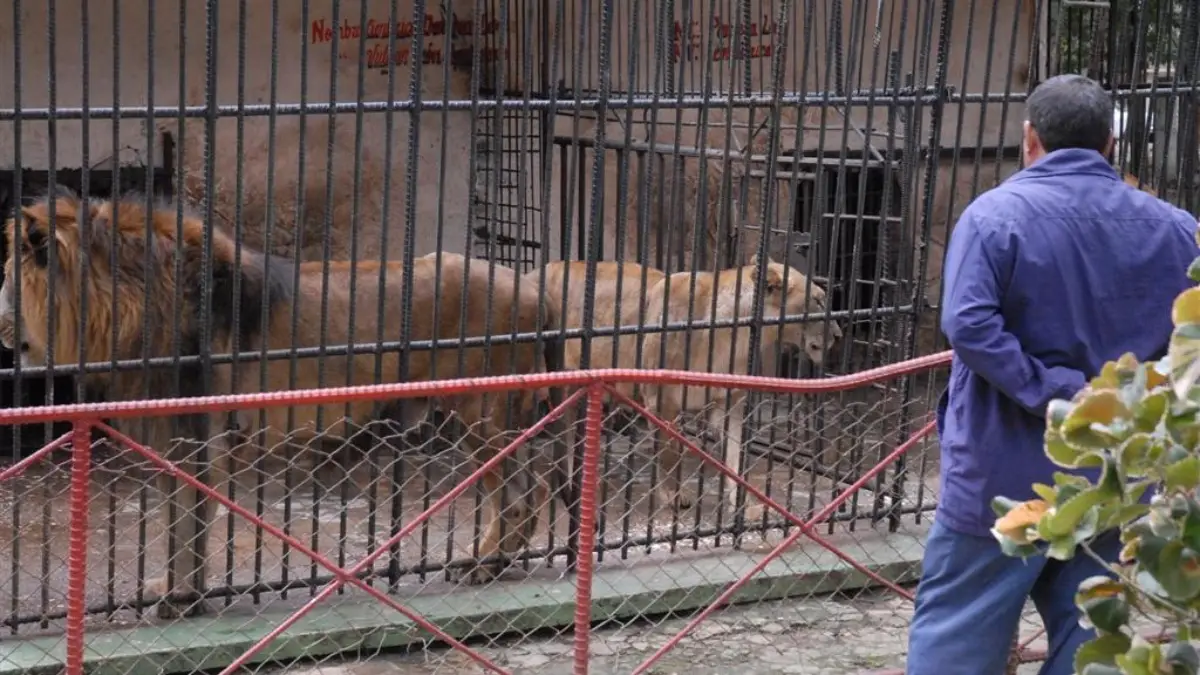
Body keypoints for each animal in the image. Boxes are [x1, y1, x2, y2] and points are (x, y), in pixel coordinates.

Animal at [0, 192, 549, 619]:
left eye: (8, 280)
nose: (2, 329)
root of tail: (531, 286)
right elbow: (182, 522)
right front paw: (178, 593)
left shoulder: (199, 438)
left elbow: (187, 523)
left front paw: (180, 598)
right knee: (534, 491)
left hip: (482, 414)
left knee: (521, 496)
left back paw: (481, 563)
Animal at [525, 255, 844, 514]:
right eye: (818, 301)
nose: (840, 336)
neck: (736, 337)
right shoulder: (661, 399)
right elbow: (670, 453)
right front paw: (674, 496)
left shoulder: (730, 401)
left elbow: (734, 455)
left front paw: (740, 500)